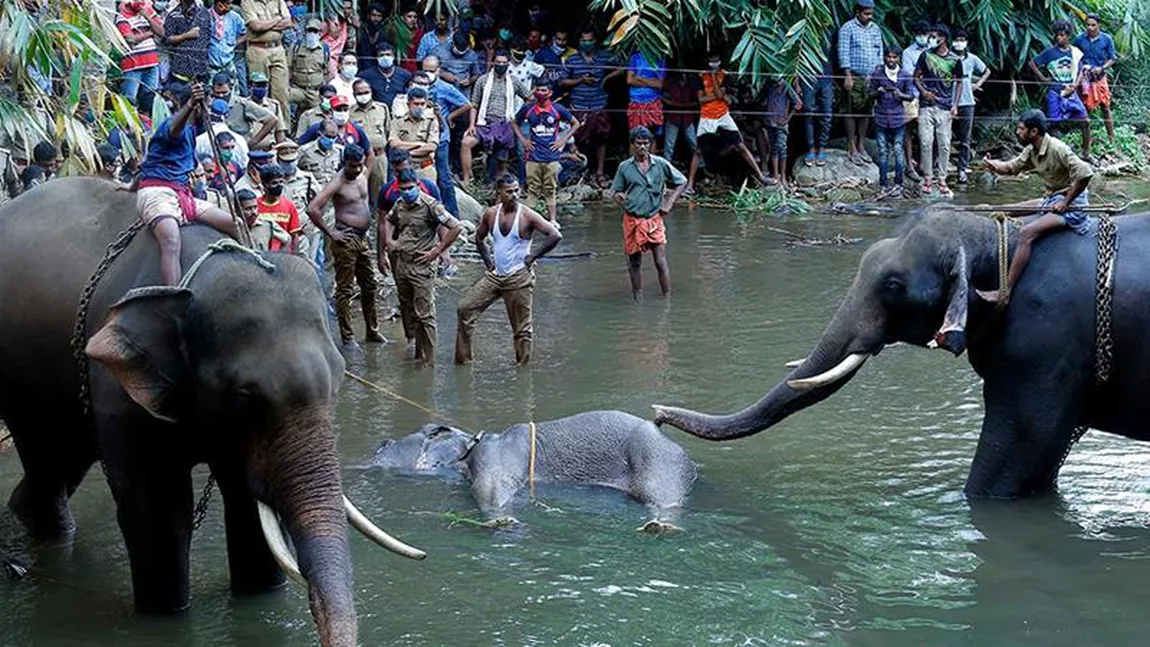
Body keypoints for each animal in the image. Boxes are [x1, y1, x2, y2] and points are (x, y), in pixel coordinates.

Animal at [0, 178, 423, 647]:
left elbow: (246, 504)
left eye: (338, 381)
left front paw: (259, 596)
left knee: (63, 459)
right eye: (244, 397)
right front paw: (165, 615)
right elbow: (160, 511)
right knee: (45, 457)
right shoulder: (117, 385)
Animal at [372, 413, 694, 528]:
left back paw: (659, 527)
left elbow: (491, 492)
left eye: (385, 445)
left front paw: (503, 522)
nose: (380, 443)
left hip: (658, 462)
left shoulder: (495, 461)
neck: (470, 445)